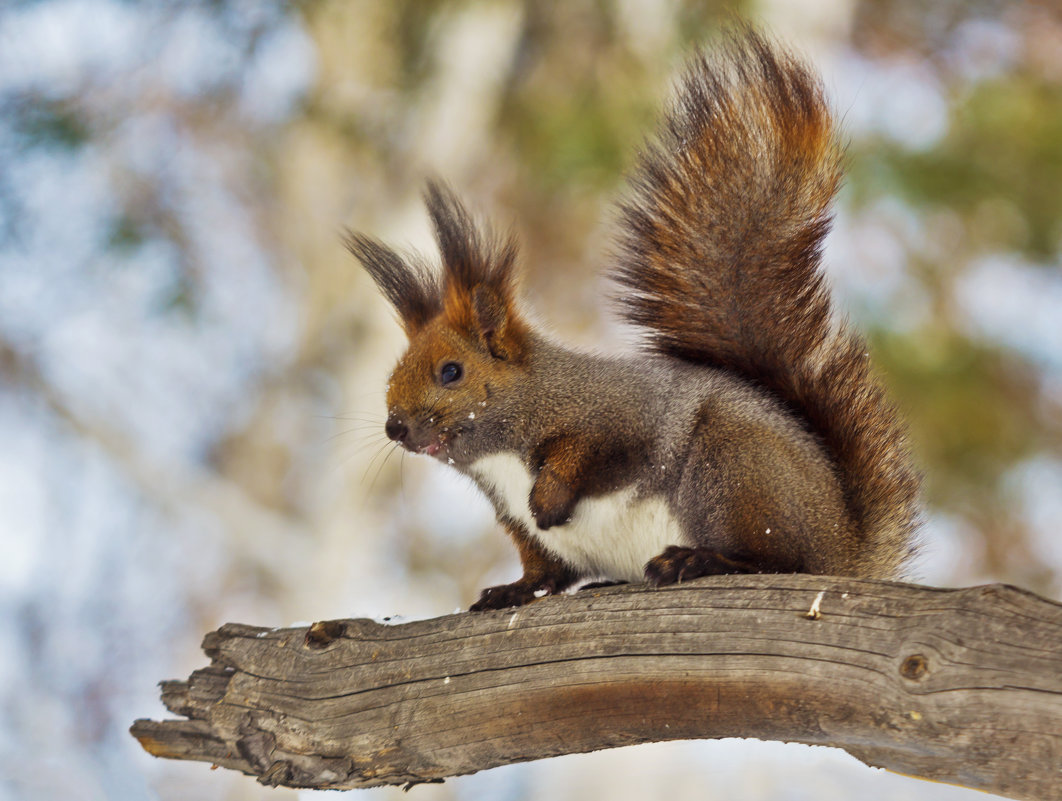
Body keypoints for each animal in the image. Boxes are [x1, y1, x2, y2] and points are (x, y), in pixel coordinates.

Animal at [348, 28, 921, 607]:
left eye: (451, 371)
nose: (395, 427)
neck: (502, 448)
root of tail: (844, 549)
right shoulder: (517, 524)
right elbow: (544, 571)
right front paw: (510, 591)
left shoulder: (619, 413)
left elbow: (586, 454)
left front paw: (548, 499)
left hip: (732, 470)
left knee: (775, 560)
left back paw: (698, 559)